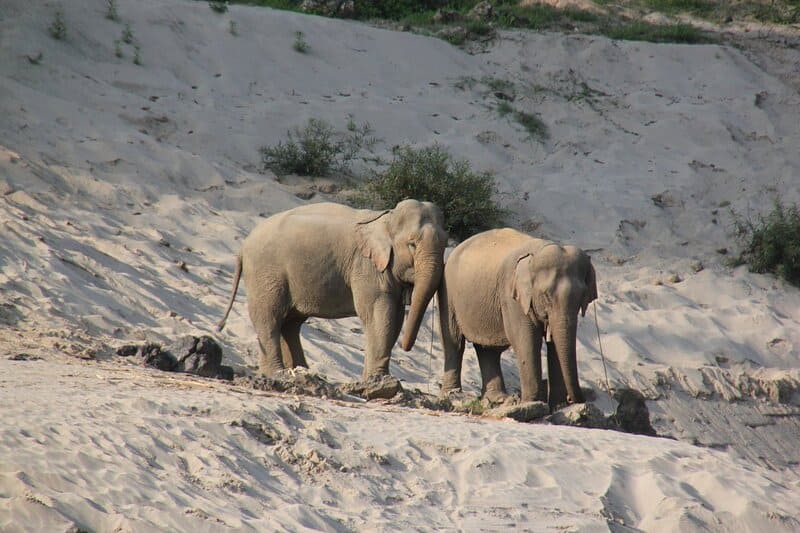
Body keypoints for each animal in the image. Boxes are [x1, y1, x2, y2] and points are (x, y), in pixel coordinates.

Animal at [216, 198, 446, 378]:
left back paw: (301, 371)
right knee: (269, 318)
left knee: (290, 323)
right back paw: (278, 374)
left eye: (445, 245)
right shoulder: (365, 267)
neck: (384, 218)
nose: (407, 348)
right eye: (412, 244)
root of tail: (242, 247)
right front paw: (379, 381)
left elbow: (395, 318)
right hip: (266, 273)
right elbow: (378, 315)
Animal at [434, 227, 596, 406]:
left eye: (582, 296)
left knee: (487, 350)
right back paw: (452, 394)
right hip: (448, 293)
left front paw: (558, 407)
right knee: (454, 342)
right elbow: (525, 340)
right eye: (546, 295)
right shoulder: (512, 296)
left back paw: (498, 398)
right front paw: (532, 403)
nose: (576, 400)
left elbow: (554, 345)